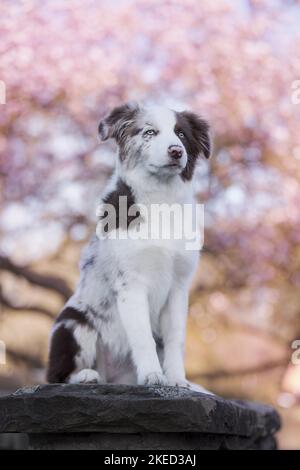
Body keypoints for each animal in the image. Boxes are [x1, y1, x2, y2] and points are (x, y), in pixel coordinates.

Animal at [47, 102, 211, 390]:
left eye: (181, 134)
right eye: (150, 132)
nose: (176, 151)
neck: (161, 201)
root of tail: (112, 378)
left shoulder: (179, 287)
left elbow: (176, 340)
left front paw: (177, 379)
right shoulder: (131, 284)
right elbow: (143, 336)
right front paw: (153, 375)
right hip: (73, 322)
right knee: (56, 375)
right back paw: (85, 376)